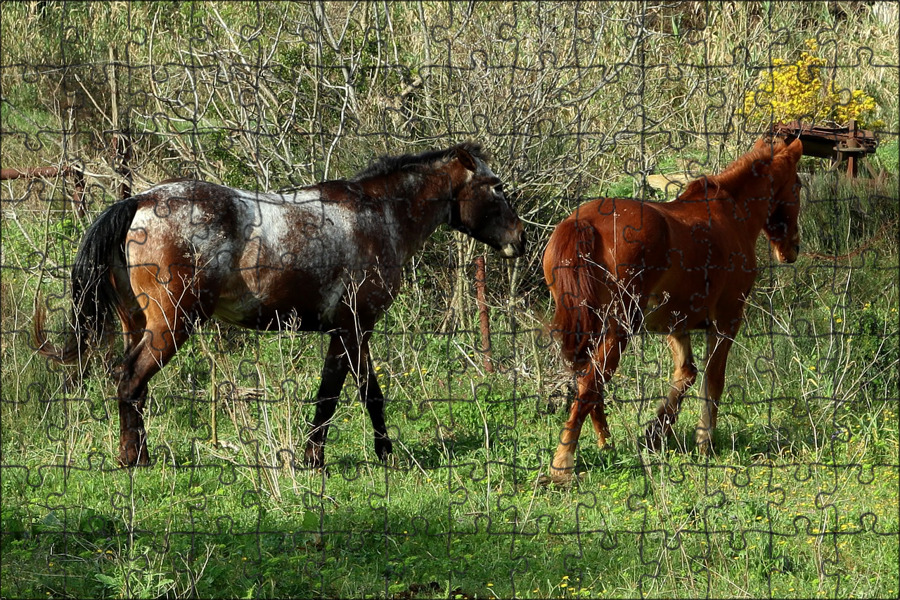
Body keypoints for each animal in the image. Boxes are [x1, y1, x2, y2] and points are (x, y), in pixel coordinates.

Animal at [37, 143, 528, 466]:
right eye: (496, 187)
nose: (520, 240)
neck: (378, 216)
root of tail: (141, 200)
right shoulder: (353, 326)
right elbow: (340, 392)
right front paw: (323, 458)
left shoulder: (351, 329)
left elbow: (359, 392)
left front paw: (372, 453)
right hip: (171, 325)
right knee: (131, 380)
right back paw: (134, 459)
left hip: (136, 323)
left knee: (130, 384)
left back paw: (136, 452)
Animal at [540, 136, 800, 482]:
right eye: (798, 185)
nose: (793, 248)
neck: (730, 214)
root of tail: (583, 222)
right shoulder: (727, 319)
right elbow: (713, 380)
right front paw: (705, 441)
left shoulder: (676, 325)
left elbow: (686, 374)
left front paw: (656, 431)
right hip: (618, 329)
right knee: (590, 384)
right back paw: (563, 463)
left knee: (590, 382)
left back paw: (605, 443)